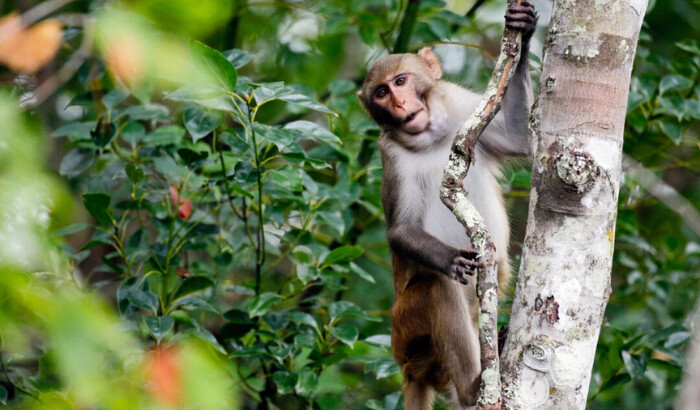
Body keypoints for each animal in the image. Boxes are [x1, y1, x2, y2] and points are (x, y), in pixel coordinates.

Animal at [358, 2, 540, 406]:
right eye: (380, 93)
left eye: (401, 81)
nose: (399, 103)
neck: (431, 136)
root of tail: (409, 370)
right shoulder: (392, 156)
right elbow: (401, 230)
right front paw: (449, 258)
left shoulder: (462, 105)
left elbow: (521, 139)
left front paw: (524, 31)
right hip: (407, 331)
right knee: (437, 288)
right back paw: (473, 387)